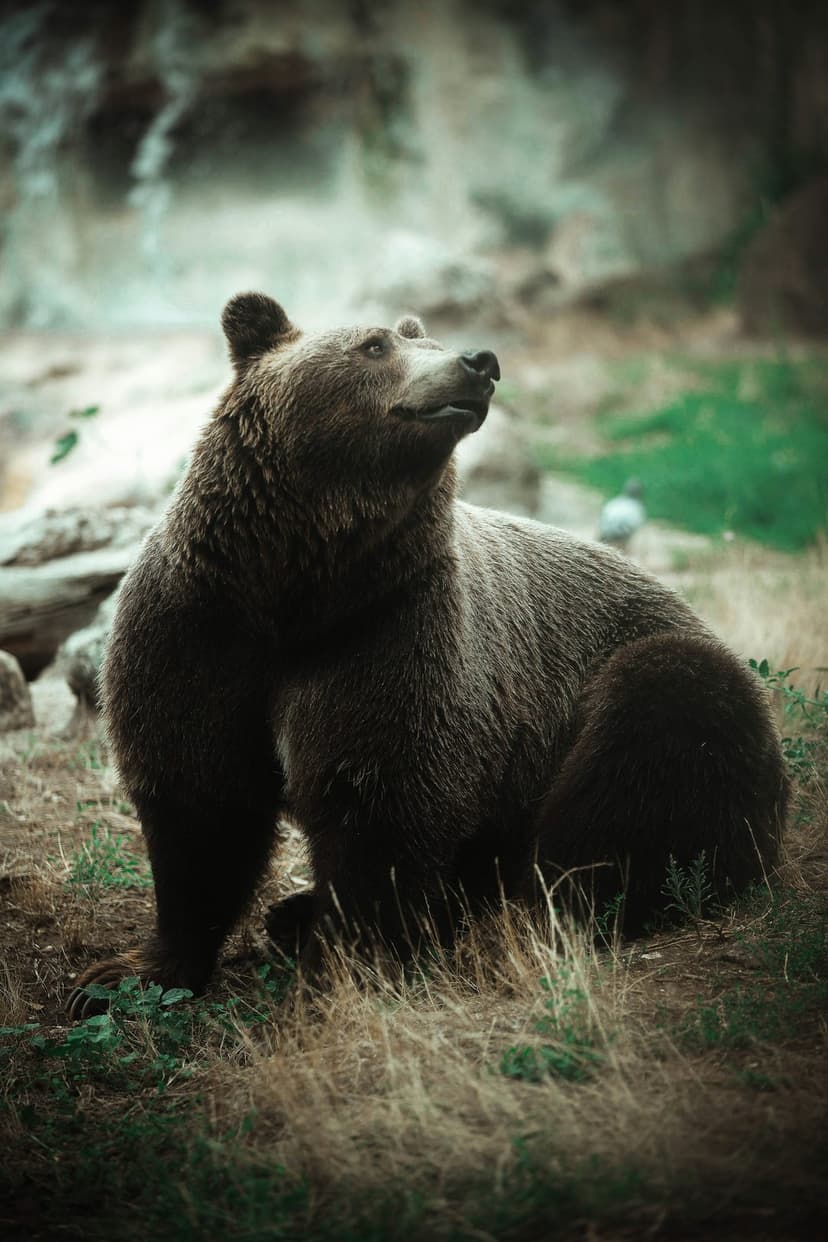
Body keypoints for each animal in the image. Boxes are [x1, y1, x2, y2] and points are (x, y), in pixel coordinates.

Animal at [67, 293, 787, 1017]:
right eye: (375, 344)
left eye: (424, 338)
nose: (479, 362)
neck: (297, 588)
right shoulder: (200, 632)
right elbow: (200, 807)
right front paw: (122, 976)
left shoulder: (392, 633)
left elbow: (379, 801)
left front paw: (346, 970)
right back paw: (296, 914)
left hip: (646, 691)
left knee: (648, 749)